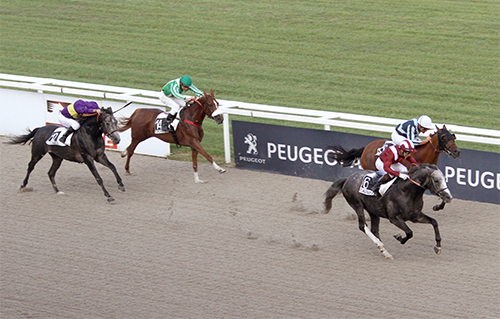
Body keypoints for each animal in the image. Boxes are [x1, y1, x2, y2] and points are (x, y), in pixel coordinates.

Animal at [322, 165, 456, 260]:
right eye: (436, 180)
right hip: (357, 204)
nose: (448, 197)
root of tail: (347, 178)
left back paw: (384, 251)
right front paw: (399, 237)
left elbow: (434, 222)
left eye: (444, 179)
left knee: (374, 230)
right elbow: (409, 232)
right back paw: (381, 246)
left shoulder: (415, 216)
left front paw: (438, 246)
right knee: (362, 226)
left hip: (373, 211)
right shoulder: (395, 218)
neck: (407, 192)